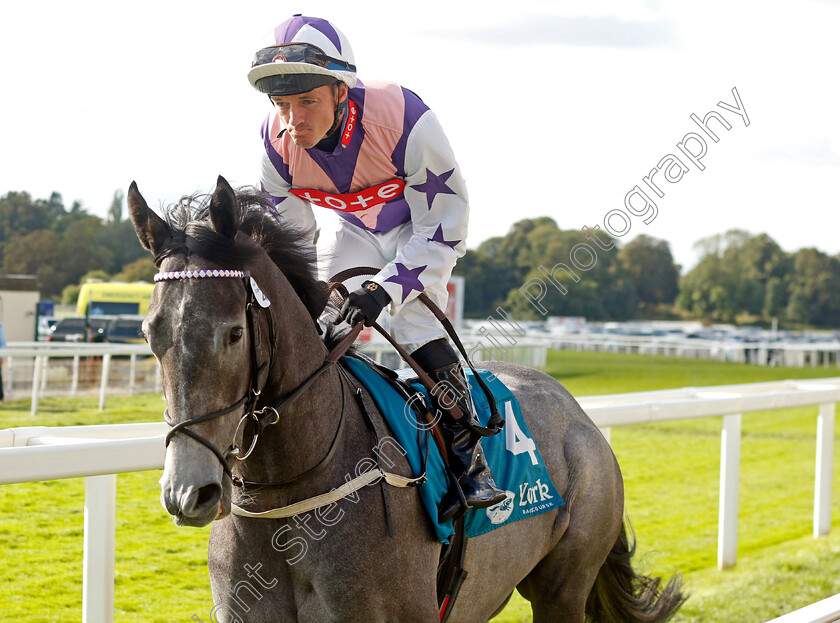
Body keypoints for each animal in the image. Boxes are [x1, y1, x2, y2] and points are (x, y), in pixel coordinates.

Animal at [130, 177, 684, 623]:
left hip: (563, 588)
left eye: (233, 334)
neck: (290, 500)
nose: (188, 493)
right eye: (149, 332)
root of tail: (578, 412)